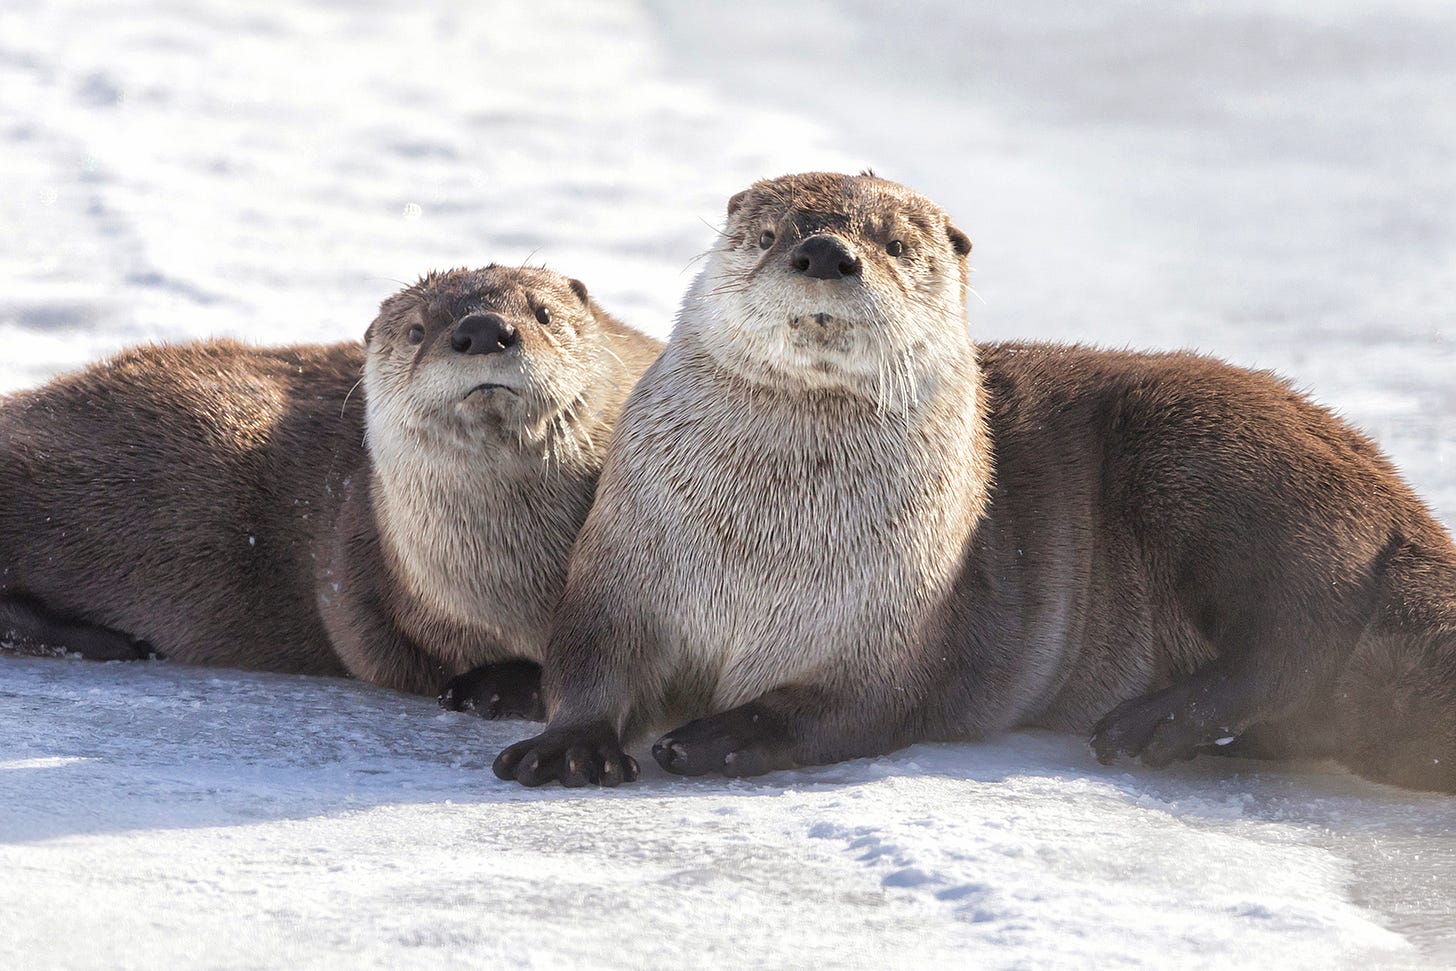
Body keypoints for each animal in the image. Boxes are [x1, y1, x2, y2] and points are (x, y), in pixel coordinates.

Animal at [0, 266, 661, 713]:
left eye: (544, 313)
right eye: (417, 330)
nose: (483, 329)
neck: (526, 579)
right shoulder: (360, 552)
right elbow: (376, 647)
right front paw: (497, 685)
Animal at [492, 171, 1456, 791]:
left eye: (898, 244)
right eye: (768, 234)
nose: (826, 251)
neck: (762, 544)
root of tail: (1402, 502)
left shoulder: (896, 616)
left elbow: (853, 705)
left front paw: (722, 735)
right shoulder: (626, 557)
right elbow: (590, 654)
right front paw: (569, 746)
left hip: (1224, 462)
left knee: (1302, 624)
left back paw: (1154, 724)